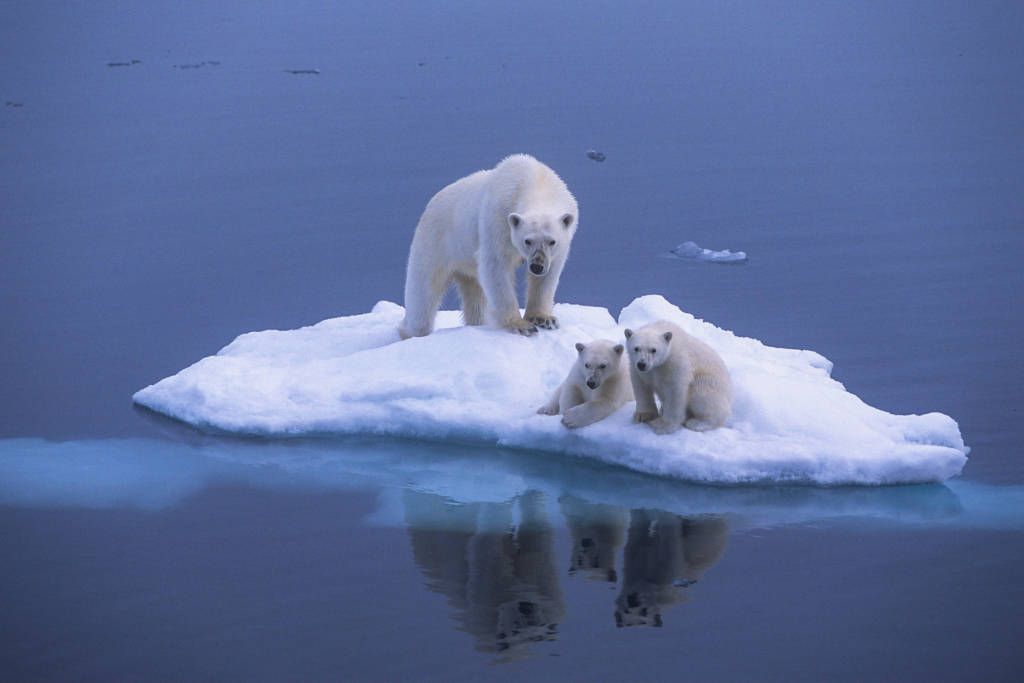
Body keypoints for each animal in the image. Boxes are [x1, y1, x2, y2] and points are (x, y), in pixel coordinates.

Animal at [397, 153, 581, 337]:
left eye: (552, 241)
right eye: (527, 241)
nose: (537, 266)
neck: (536, 182)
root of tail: (429, 205)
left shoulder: (564, 238)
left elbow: (548, 276)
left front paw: (544, 319)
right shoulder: (498, 219)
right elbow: (496, 266)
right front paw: (521, 325)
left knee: (475, 297)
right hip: (435, 242)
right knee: (423, 292)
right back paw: (410, 331)